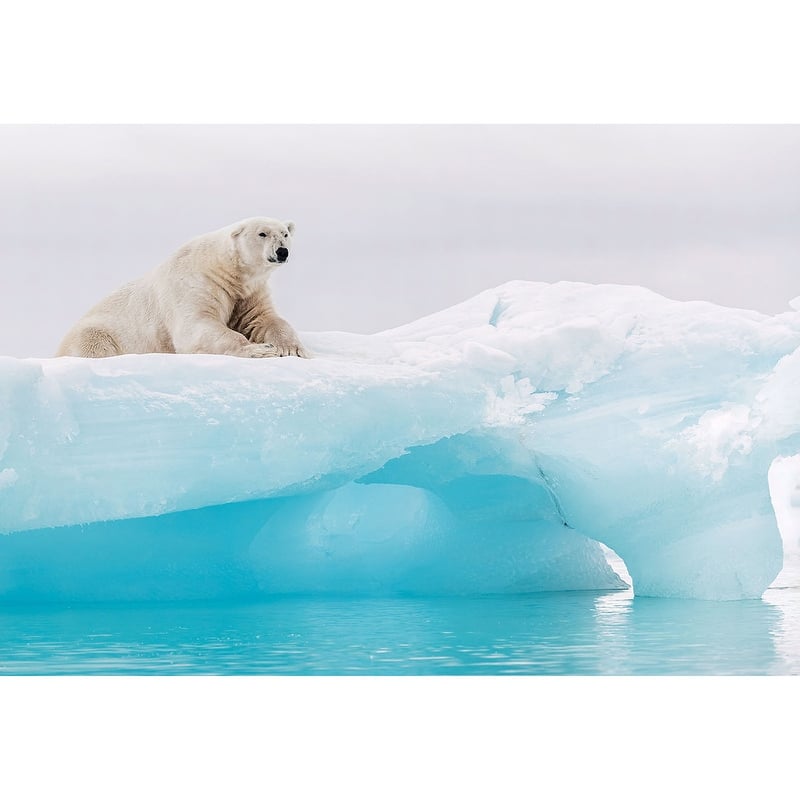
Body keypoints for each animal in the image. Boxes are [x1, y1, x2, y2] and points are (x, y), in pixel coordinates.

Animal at [56, 217, 309, 359]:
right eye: (262, 233)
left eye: (285, 233)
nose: (282, 251)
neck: (225, 269)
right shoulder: (197, 284)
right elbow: (197, 326)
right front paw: (260, 349)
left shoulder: (249, 292)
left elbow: (263, 319)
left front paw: (292, 349)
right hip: (97, 333)